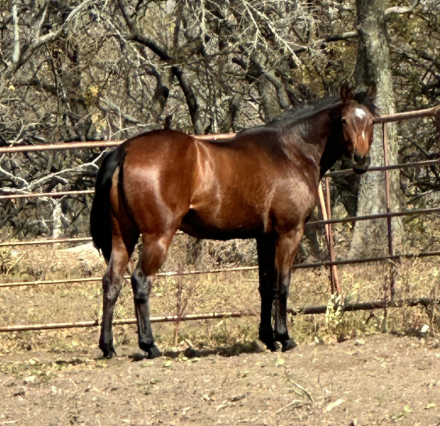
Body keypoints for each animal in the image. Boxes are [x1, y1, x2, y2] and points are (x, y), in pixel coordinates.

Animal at [91, 84, 376, 360]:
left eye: (371, 120)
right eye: (344, 120)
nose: (360, 160)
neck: (291, 152)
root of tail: (125, 149)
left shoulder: (264, 238)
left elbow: (266, 287)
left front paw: (268, 338)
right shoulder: (289, 234)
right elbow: (282, 285)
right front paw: (284, 338)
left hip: (123, 237)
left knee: (112, 282)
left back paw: (108, 347)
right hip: (157, 237)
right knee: (140, 281)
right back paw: (149, 345)